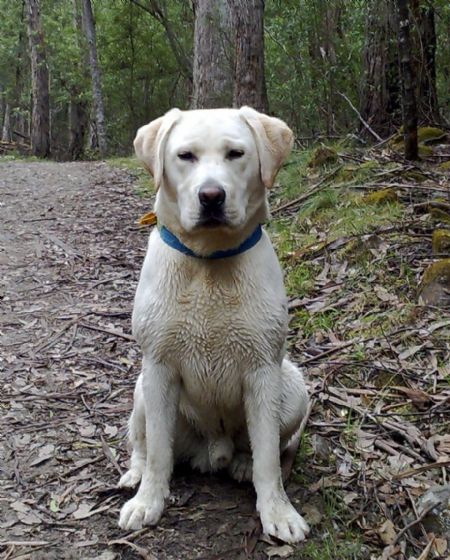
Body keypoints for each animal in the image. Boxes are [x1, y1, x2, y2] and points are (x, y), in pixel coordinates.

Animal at [118, 106, 312, 544]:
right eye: (185, 156)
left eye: (236, 154)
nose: (211, 196)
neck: (209, 263)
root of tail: (213, 451)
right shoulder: (158, 368)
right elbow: (158, 452)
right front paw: (148, 501)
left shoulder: (263, 370)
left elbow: (268, 459)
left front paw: (278, 512)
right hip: (142, 389)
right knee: (143, 445)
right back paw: (135, 476)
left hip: (294, 388)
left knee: (270, 447)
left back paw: (241, 462)